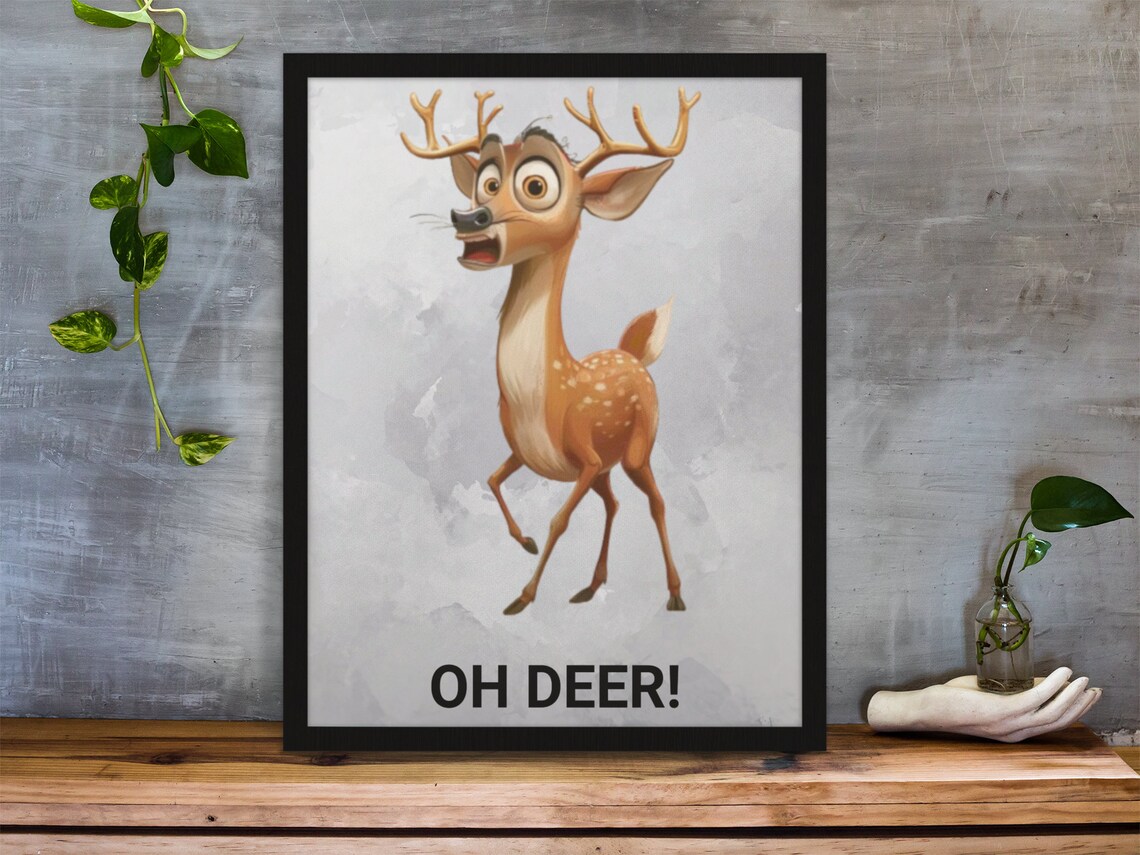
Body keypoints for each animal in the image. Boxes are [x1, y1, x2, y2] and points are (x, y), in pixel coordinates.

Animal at [402, 85, 699, 615]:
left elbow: (560, 519)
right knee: (614, 502)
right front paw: (524, 543)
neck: (545, 396)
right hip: (610, 465)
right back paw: (590, 585)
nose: (468, 216)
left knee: (655, 501)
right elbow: (492, 479)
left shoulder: (585, 459)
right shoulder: (526, 451)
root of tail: (634, 355)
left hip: (638, 446)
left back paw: (674, 593)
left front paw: (523, 595)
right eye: (487, 183)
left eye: (536, 186)